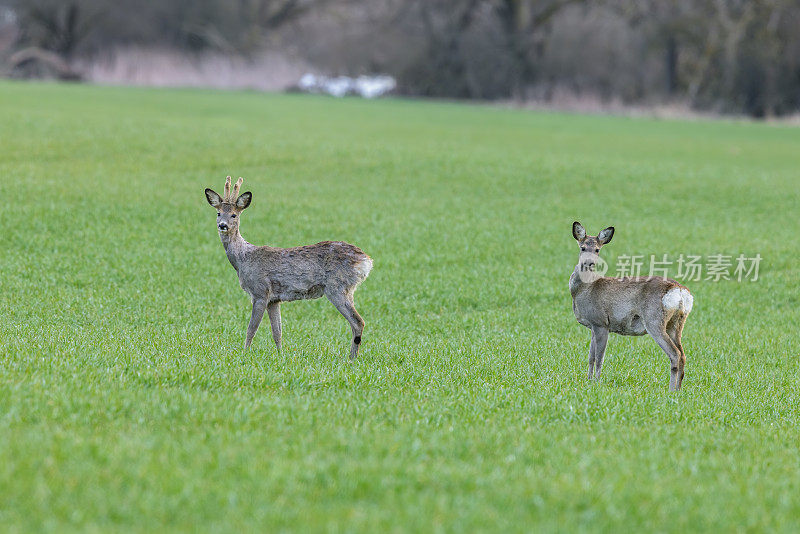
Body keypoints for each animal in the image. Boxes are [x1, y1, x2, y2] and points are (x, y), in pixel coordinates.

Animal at [203, 177, 372, 360]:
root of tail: (366, 260)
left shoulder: (260, 292)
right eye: (218, 213)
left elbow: (251, 328)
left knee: (358, 321)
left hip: (337, 287)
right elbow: (277, 332)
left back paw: (351, 359)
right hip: (346, 289)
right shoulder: (274, 299)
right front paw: (280, 355)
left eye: (234, 214)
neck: (243, 259)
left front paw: (245, 353)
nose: (222, 225)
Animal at [568, 222, 692, 394]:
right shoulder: (593, 325)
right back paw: (678, 389)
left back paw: (671, 390)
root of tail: (680, 291)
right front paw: (588, 380)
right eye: (583, 247)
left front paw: (596, 382)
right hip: (676, 324)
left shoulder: (601, 322)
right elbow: (591, 357)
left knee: (675, 354)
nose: (589, 263)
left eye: (597, 250)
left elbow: (599, 357)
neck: (585, 289)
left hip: (654, 320)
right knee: (683, 354)